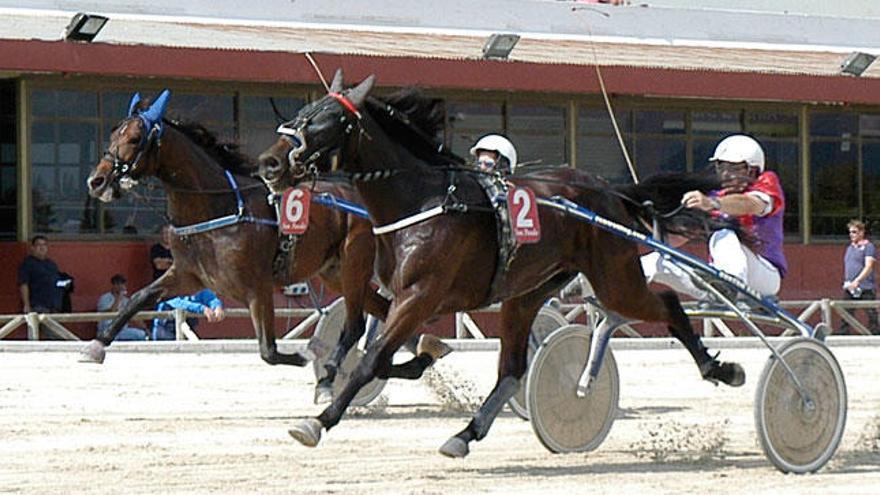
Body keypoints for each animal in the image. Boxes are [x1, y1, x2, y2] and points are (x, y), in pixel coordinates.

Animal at [81, 90, 446, 404]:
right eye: (112, 136)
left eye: (133, 139)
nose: (96, 181)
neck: (220, 208)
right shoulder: (187, 276)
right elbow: (140, 297)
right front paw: (96, 346)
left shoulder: (257, 286)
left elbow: (268, 350)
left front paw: (306, 355)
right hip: (335, 273)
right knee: (386, 314)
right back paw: (423, 353)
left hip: (354, 263)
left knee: (360, 323)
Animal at [260, 71, 748, 460]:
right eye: (302, 110)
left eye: (325, 119)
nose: (269, 162)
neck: (421, 201)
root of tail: (610, 191)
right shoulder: (394, 293)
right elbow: (378, 348)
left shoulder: (420, 297)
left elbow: (371, 359)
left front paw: (317, 421)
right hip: (526, 293)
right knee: (512, 370)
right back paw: (464, 434)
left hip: (615, 278)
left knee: (666, 303)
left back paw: (720, 369)